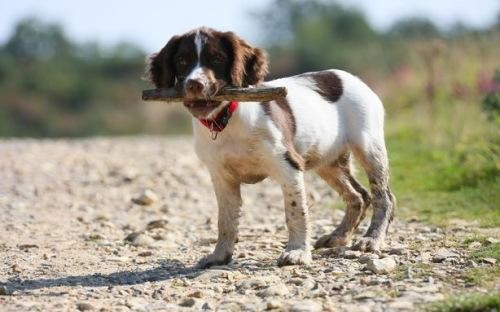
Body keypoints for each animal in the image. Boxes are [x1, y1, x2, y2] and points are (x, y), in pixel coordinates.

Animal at [146, 26, 396, 268]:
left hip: (369, 147)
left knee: (383, 197)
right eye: (182, 61)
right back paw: (338, 237)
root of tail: (352, 77)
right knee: (359, 195)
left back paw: (372, 239)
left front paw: (297, 252)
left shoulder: (289, 165)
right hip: (328, 161)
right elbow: (225, 221)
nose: (195, 85)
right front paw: (219, 256)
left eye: (217, 59)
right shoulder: (221, 176)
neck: (226, 119)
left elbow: (296, 212)